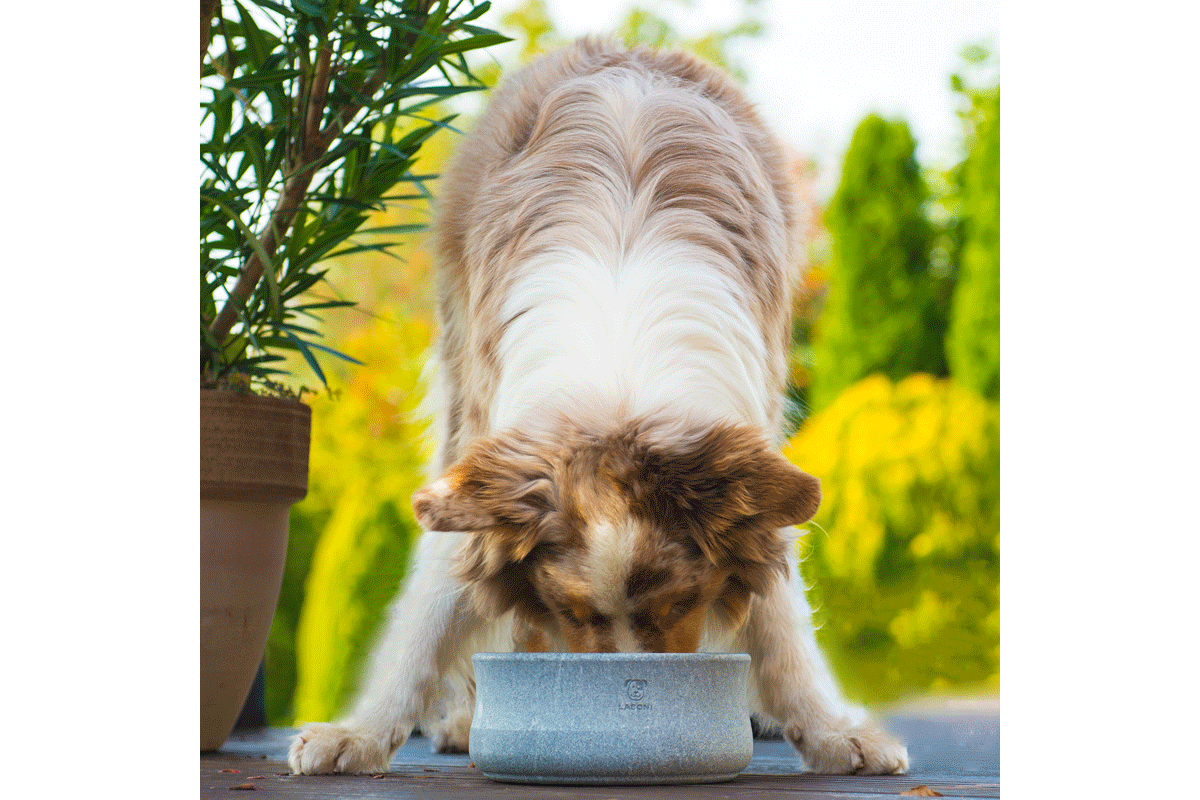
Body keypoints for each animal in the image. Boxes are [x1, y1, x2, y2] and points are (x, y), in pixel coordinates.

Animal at [288, 37, 907, 777]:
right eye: (573, 612)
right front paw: (358, 732)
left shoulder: (753, 450)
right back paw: (468, 717)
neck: (620, 385)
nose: (631, 699)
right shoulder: (483, 456)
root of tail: (625, 46)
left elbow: (781, 620)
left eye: (682, 603)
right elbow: (429, 613)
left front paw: (833, 731)